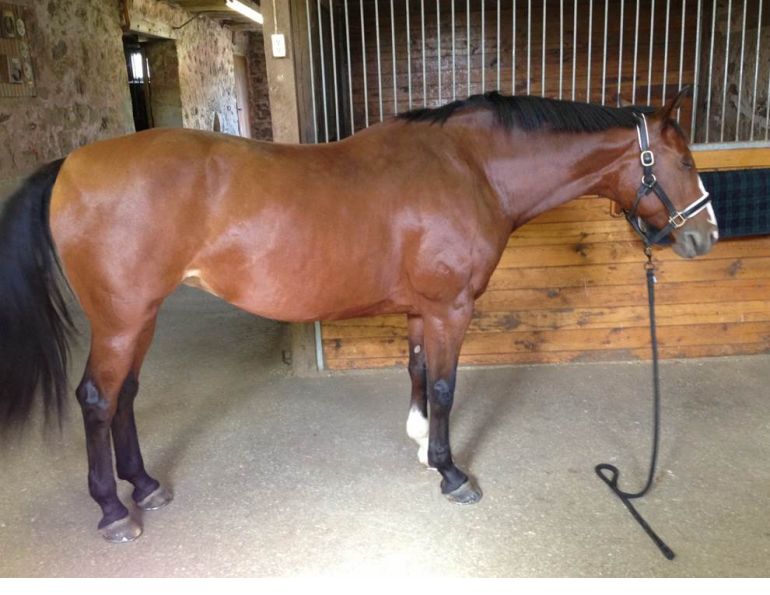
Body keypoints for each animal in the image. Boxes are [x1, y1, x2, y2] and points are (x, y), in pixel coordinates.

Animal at [0, 89, 718, 542]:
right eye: (683, 160)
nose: (704, 236)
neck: (471, 168)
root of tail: (70, 164)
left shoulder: (423, 310)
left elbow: (419, 373)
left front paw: (422, 446)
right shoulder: (452, 308)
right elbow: (446, 385)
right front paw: (451, 472)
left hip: (140, 317)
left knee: (124, 396)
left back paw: (145, 485)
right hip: (122, 319)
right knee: (98, 398)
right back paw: (113, 510)